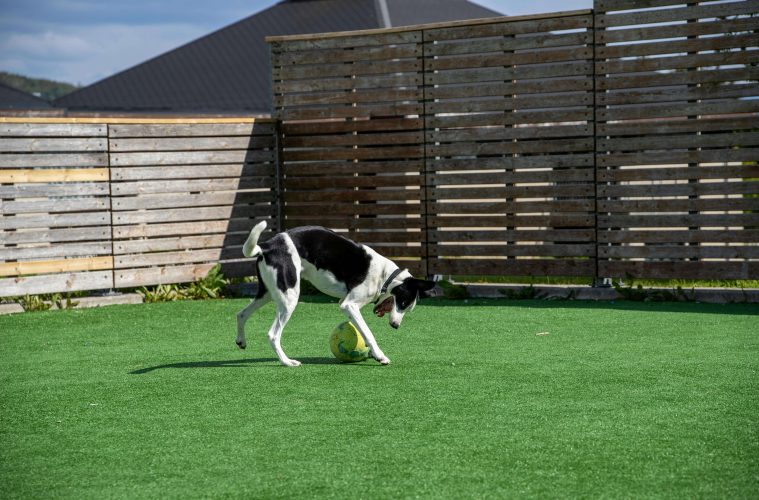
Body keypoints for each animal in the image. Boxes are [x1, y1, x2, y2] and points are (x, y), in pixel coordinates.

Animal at [235, 223, 436, 368]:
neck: (384, 276)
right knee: (273, 334)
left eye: (406, 307)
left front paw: (372, 353)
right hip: (289, 298)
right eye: (403, 302)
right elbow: (367, 332)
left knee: (241, 314)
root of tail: (268, 246)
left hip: (267, 294)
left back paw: (241, 341)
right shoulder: (349, 305)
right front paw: (380, 356)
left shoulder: (346, 303)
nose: (395, 326)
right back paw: (287, 362)